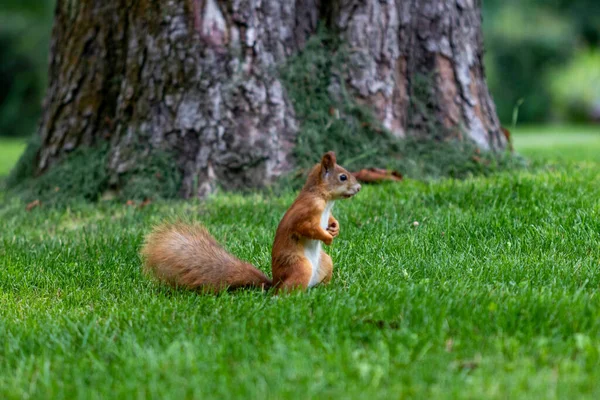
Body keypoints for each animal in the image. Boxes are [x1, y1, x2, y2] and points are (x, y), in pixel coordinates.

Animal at [141, 152, 360, 292]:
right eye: (343, 177)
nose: (358, 188)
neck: (325, 199)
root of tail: (274, 283)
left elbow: (330, 219)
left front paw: (335, 228)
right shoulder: (307, 211)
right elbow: (306, 227)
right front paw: (327, 237)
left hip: (325, 263)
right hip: (299, 267)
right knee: (284, 294)